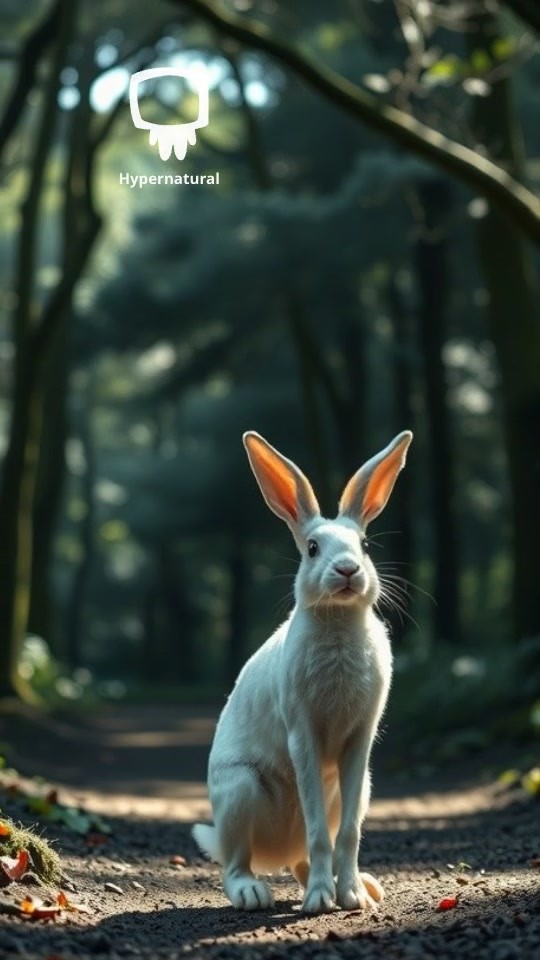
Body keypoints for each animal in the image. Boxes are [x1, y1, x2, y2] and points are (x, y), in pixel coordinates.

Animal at [193, 428, 413, 914]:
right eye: (312, 549)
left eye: (364, 545)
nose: (347, 570)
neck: (339, 623)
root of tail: (279, 850)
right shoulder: (303, 732)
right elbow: (319, 832)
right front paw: (320, 902)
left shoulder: (359, 742)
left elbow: (347, 833)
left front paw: (351, 898)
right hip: (239, 791)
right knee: (235, 863)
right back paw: (256, 893)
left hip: (361, 790)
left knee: (303, 855)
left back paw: (364, 886)